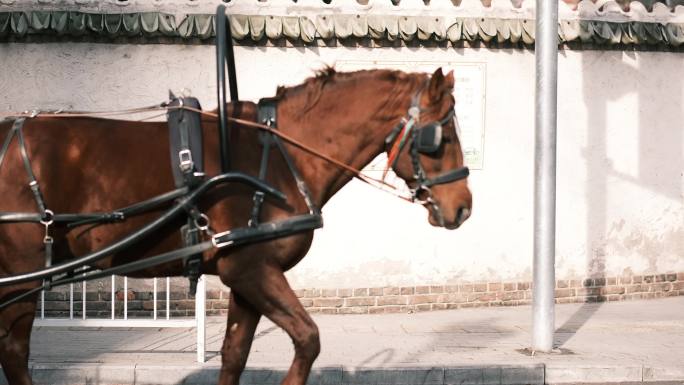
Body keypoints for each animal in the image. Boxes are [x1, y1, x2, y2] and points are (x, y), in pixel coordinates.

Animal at [0, 68, 470, 384]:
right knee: (15, 352)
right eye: (440, 137)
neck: (281, 156)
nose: (463, 207)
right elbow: (308, 339)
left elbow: (235, 354)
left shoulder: (247, 276)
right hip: (24, 272)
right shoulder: (250, 269)